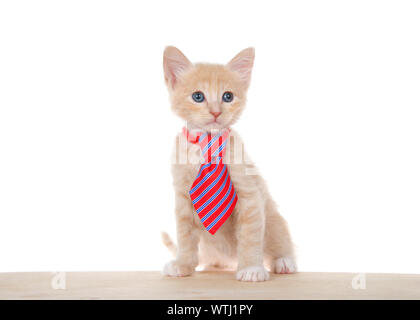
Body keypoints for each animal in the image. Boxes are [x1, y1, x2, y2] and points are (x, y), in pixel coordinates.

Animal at [161, 46, 296, 282]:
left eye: (228, 96)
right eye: (198, 96)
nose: (216, 112)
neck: (208, 144)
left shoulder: (250, 194)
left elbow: (250, 235)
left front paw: (251, 268)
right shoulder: (182, 197)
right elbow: (184, 235)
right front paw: (183, 264)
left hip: (273, 220)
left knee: (279, 240)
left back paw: (283, 261)